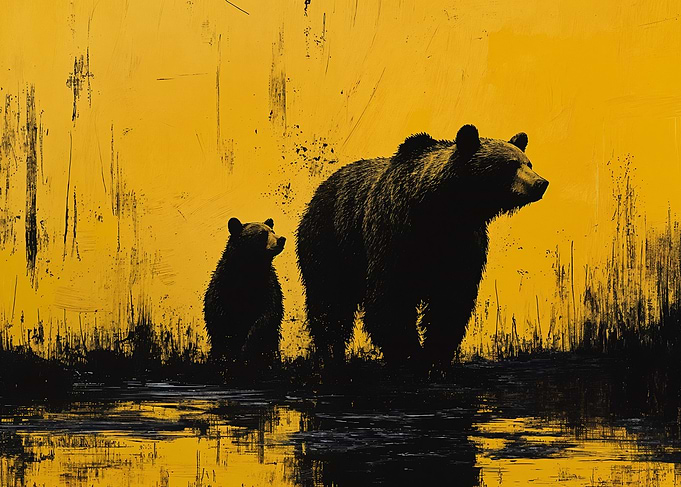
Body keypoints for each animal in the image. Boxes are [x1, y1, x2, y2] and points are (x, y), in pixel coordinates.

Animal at [203, 217, 286, 368]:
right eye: (262, 234)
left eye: (273, 231)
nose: (281, 239)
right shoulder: (222, 288)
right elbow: (219, 321)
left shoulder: (268, 288)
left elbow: (266, 318)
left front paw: (247, 349)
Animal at [296, 124, 548, 373]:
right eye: (511, 165)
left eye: (528, 163)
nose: (541, 183)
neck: (442, 211)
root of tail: (323, 186)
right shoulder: (395, 234)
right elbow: (391, 298)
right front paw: (410, 357)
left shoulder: (462, 245)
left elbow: (451, 300)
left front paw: (435, 358)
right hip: (331, 240)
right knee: (329, 300)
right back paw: (331, 355)